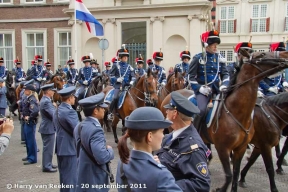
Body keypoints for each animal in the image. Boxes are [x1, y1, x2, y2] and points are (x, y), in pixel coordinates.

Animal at [161, 50, 288, 192]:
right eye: (262, 55)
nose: (285, 54)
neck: (236, 112)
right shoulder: (224, 148)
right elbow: (229, 175)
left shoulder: (242, 148)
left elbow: (236, 173)